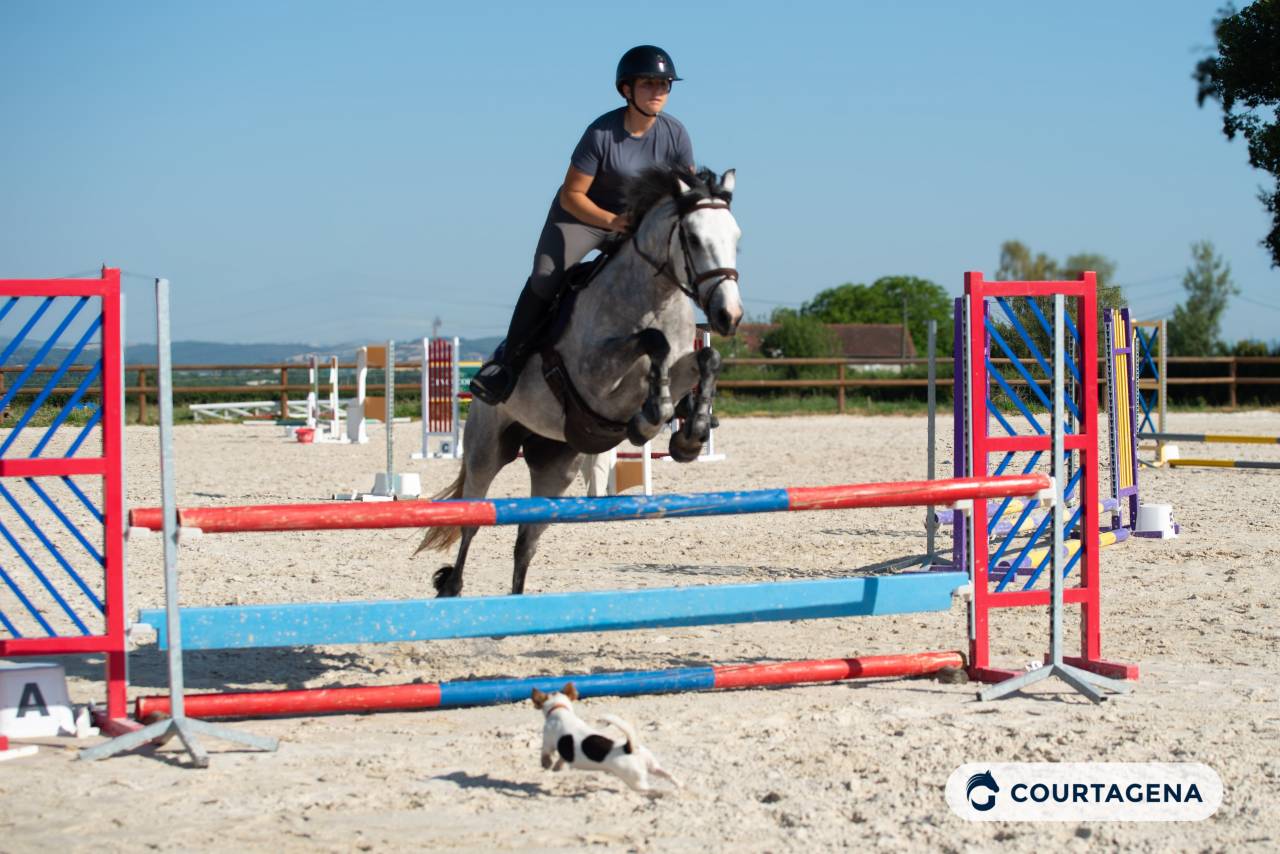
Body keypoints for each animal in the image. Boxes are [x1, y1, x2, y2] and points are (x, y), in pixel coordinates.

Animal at [417, 165, 743, 598]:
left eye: (736, 239)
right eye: (693, 238)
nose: (729, 316)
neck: (653, 297)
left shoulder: (679, 365)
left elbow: (707, 358)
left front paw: (691, 434)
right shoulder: (596, 378)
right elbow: (650, 345)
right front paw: (649, 420)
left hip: (556, 467)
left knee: (525, 542)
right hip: (486, 451)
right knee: (472, 524)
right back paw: (452, 586)